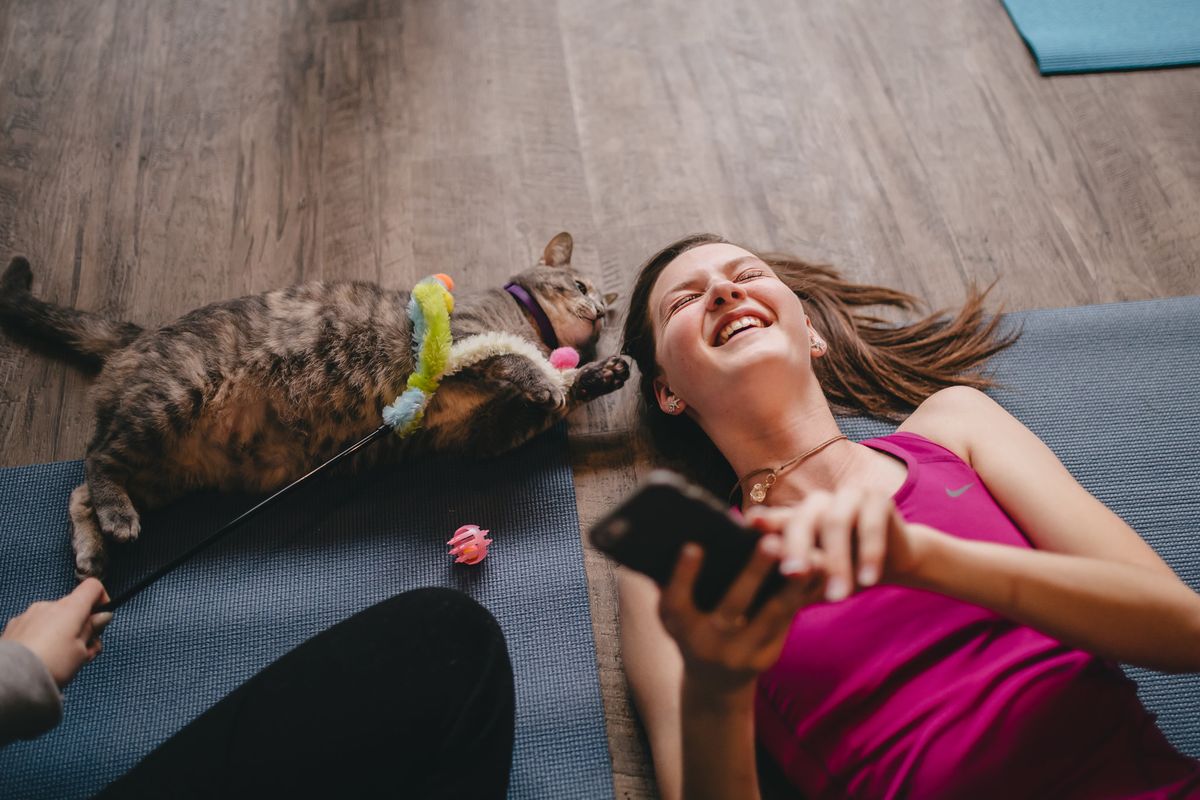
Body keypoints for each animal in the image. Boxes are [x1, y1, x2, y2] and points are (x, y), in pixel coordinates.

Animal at [0, 231, 633, 575]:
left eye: (607, 309)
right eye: (581, 287)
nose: (601, 315)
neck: (532, 324)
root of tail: (138, 336)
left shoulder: (482, 432)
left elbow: (546, 404)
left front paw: (603, 373)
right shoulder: (465, 340)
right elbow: (516, 360)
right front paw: (548, 376)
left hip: (166, 470)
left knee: (81, 489)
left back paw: (93, 552)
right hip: (170, 400)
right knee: (96, 460)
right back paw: (116, 520)